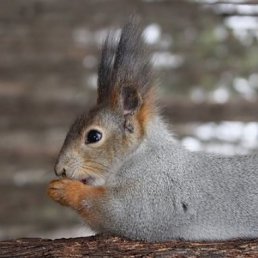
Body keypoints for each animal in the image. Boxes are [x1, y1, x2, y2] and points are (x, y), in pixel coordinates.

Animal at [47, 20, 258, 242]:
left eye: (94, 136)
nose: (60, 169)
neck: (141, 155)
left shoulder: (157, 192)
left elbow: (117, 212)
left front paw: (65, 189)